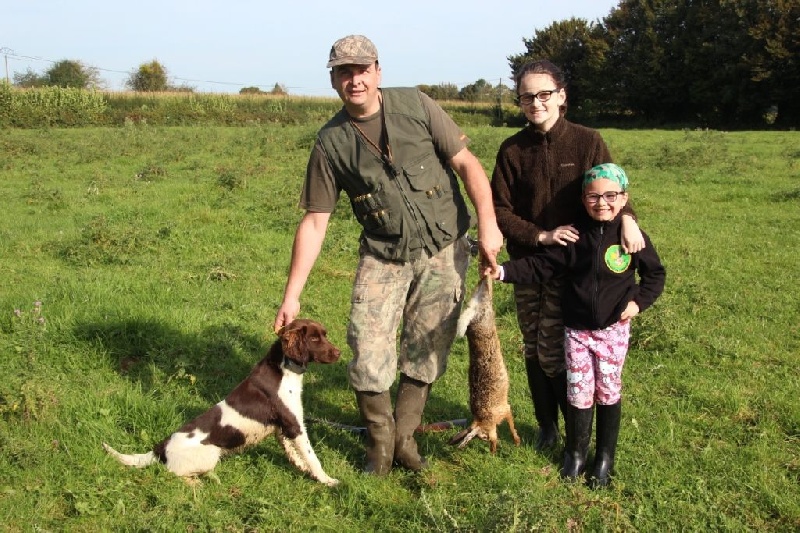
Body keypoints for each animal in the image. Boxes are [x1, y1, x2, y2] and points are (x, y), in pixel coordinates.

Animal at [103, 318, 341, 486]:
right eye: (314, 339)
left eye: (324, 335)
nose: (339, 353)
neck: (283, 369)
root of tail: (159, 448)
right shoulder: (294, 424)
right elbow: (312, 457)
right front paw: (326, 480)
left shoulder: (281, 426)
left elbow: (293, 453)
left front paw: (304, 470)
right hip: (210, 453)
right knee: (173, 474)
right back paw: (199, 482)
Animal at [449, 275, 521, 453]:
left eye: (483, 437)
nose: (492, 448)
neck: (484, 419)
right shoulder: (503, 411)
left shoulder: (505, 410)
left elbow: (511, 425)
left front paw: (516, 441)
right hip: (485, 306)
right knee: (485, 286)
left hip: (484, 312)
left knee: (485, 286)